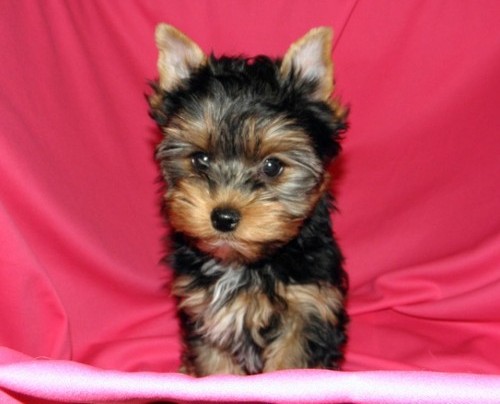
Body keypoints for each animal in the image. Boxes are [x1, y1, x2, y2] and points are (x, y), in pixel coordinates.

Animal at [149, 22, 348, 376]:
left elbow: (290, 365)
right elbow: (215, 363)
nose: (223, 217)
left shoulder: (307, 308)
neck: (243, 264)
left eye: (272, 166)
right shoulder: (206, 310)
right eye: (200, 159)